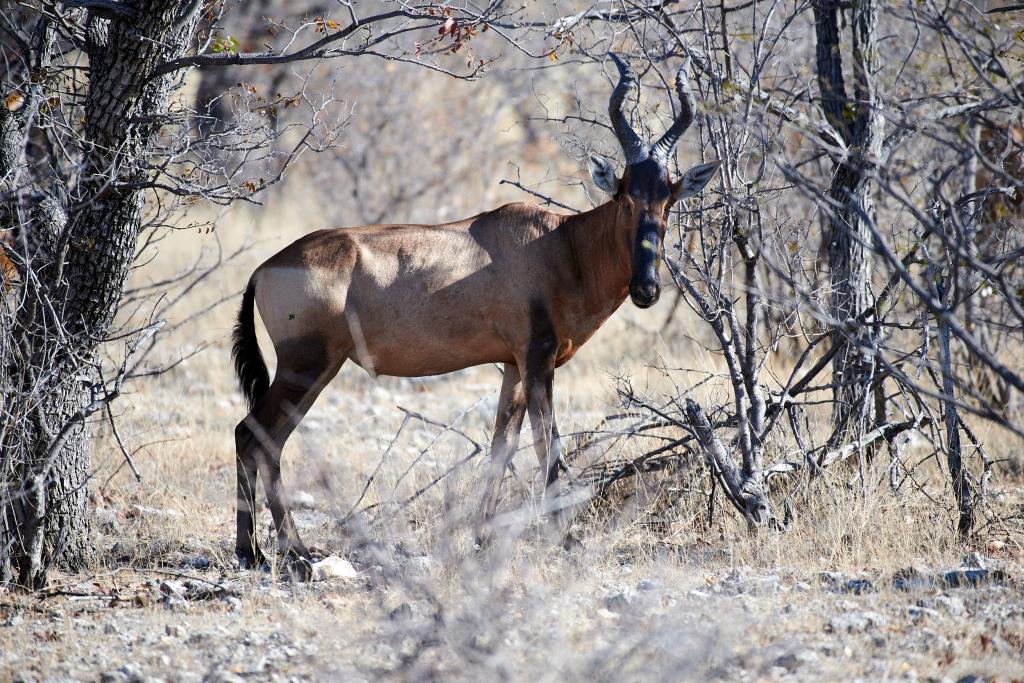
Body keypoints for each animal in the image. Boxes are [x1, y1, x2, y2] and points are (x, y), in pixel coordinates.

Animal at [230, 54, 720, 577]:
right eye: (626, 198)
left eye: (668, 199)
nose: (647, 290)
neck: (559, 244)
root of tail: (265, 268)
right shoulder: (538, 358)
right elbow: (547, 442)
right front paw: (567, 540)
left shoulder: (513, 364)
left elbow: (502, 444)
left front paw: (483, 538)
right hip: (307, 366)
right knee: (259, 436)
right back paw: (292, 554)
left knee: (254, 437)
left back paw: (255, 552)